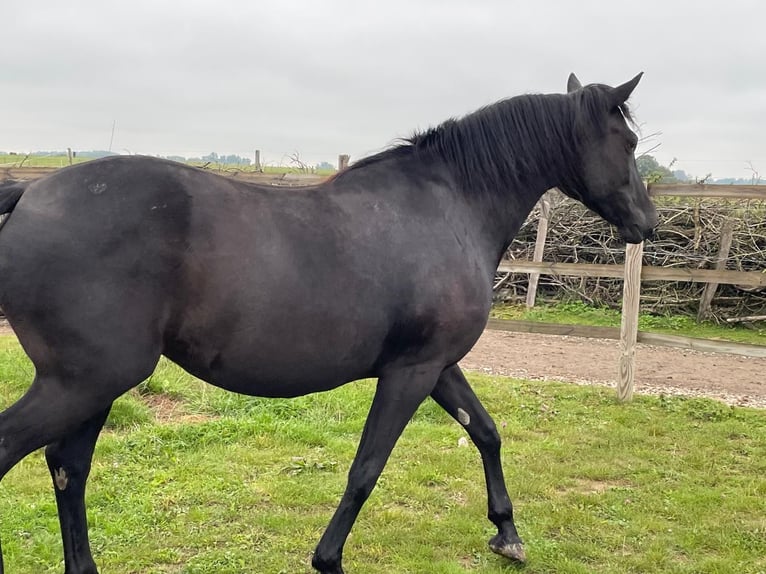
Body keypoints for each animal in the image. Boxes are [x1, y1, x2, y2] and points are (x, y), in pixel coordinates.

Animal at [0, 74, 660, 572]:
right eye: (627, 141)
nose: (647, 222)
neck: (450, 207)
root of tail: (29, 197)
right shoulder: (410, 373)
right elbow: (366, 467)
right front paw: (329, 560)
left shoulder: (437, 365)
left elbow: (487, 432)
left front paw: (507, 534)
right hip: (86, 382)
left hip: (93, 387)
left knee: (68, 467)